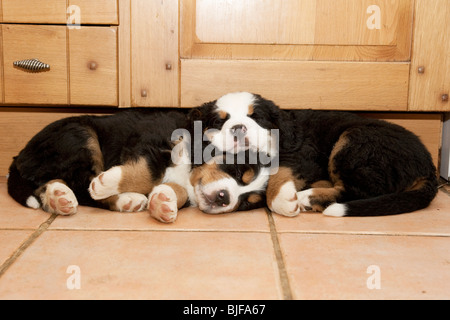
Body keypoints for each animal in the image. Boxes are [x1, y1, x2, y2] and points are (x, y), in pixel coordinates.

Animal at [7, 109, 268, 224]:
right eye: (236, 171)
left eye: (246, 203)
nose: (225, 198)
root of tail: (19, 156)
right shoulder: (149, 143)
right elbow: (150, 172)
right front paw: (108, 181)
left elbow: (179, 191)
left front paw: (164, 202)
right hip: (81, 134)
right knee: (81, 185)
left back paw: (58, 197)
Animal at [194, 91, 440, 219]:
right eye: (219, 121)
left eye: (257, 118)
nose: (238, 128)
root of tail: (429, 167)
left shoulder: (301, 154)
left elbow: (280, 172)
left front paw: (283, 201)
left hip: (354, 142)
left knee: (359, 191)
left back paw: (307, 198)